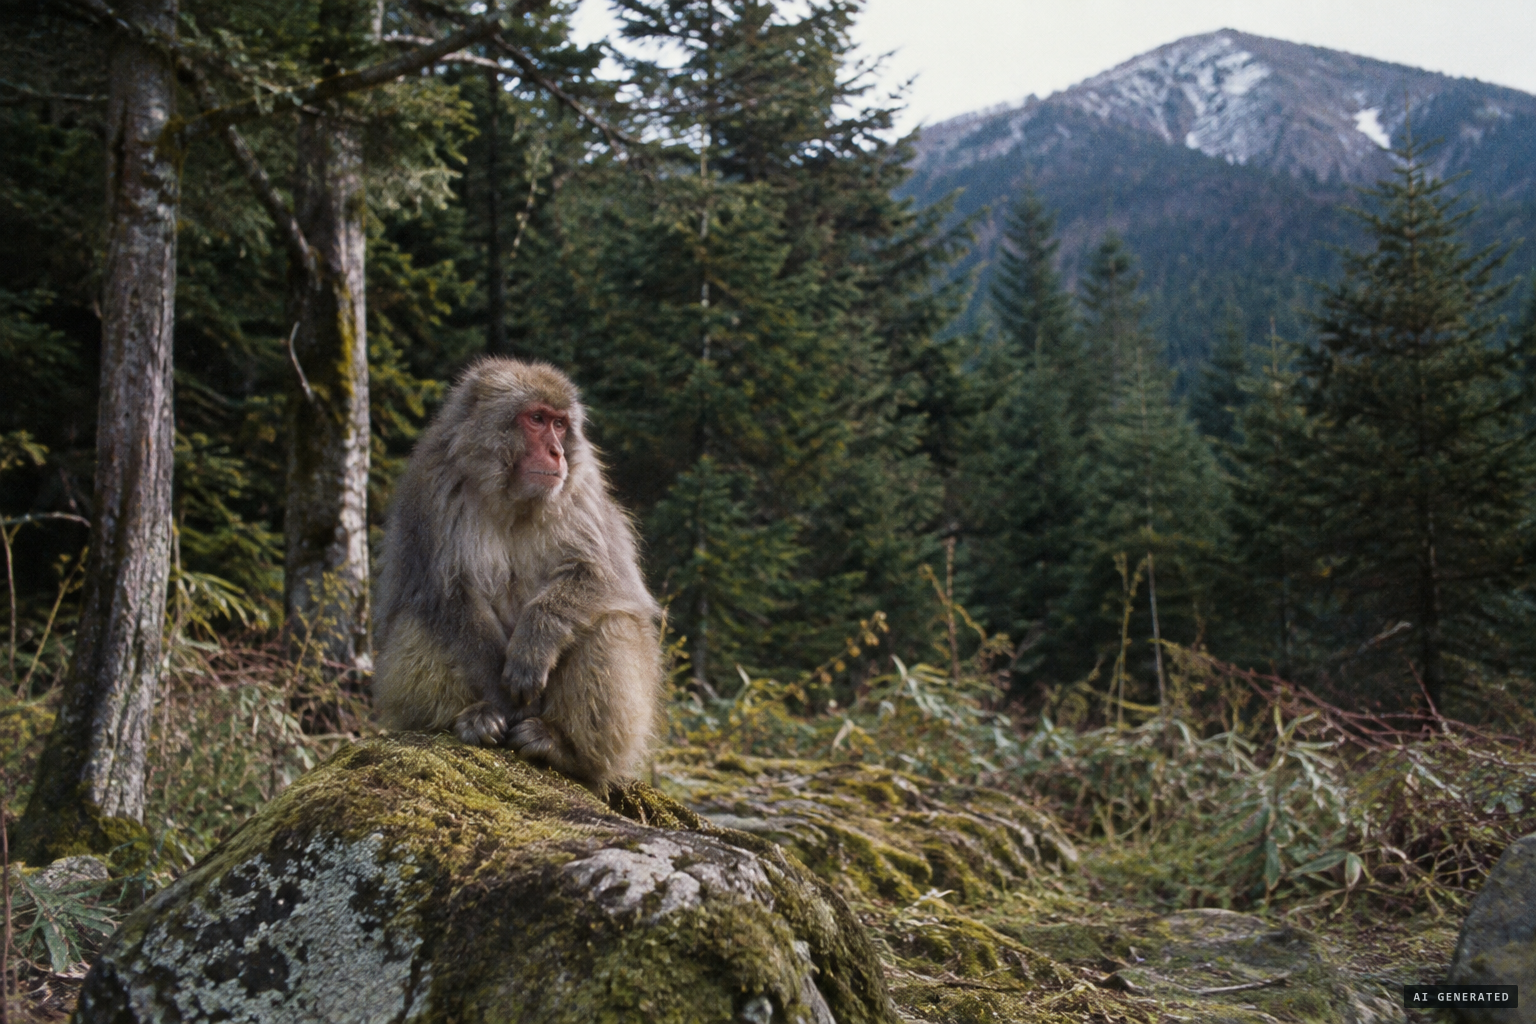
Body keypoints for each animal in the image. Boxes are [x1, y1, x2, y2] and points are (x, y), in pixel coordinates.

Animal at [371, 358, 663, 790]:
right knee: (419, 618)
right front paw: (498, 697)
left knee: (609, 625)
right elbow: (447, 591)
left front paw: (533, 645)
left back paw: (567, 752)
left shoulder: (582, 494)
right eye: (536, 419)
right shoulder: (433, 493)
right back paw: (468, 720)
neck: (513, 501)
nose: (557, 452)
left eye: (560, 424)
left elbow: (602, 579)